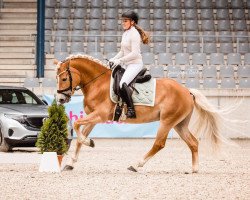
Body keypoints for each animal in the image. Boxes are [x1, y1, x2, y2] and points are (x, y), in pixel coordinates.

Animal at [55, 54, 228, 173]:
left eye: (63, 79)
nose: (61, 99)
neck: (98, 84)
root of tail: (187, 91)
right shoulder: (93, 118)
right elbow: (79, 136)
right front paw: (71, 163)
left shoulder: (100, 115)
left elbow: (77, 125)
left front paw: (89, 142)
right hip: (179, 124)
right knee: (193, 143)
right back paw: (194, 169)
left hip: (167, 121)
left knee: (159, 144)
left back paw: (136, 165)